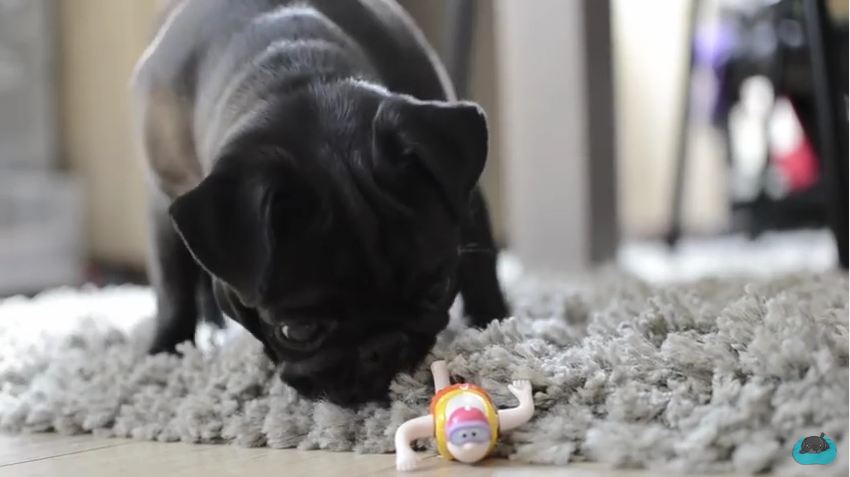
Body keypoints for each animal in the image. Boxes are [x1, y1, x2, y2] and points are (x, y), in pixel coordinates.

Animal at [132, 0, 504, 404]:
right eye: (297, 331)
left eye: (438, 289)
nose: (386, 347)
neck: (296, 73)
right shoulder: (162, 198)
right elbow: (173, 290)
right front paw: (162, 355)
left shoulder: (464, 194)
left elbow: (482, 268)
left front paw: (493, 325)